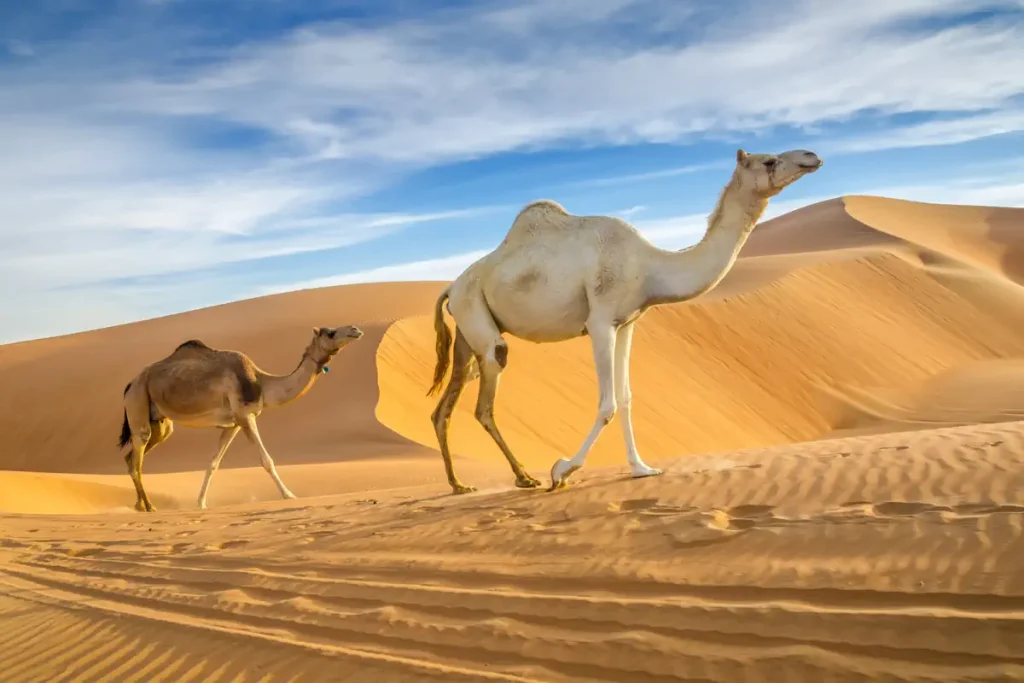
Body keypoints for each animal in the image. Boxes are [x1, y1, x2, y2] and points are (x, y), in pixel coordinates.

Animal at [117, 325, 364, 511]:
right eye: (330, 332)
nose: (355, 329)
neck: (262, 382)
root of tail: (129, 384)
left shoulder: (233, 424)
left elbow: (213, 464)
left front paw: (201, 503)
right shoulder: (246, 416)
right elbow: (266, 460)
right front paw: (289, 495)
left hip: (160, 423)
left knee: (132, 458)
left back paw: (139, 505)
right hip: (138, 402)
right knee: (137, 460)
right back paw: (149, 506)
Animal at [425, 149, 823, 493]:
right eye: (768, 160)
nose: (811, 157)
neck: (650, 267)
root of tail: (450, 286)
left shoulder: (627, 323)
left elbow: (628, 398)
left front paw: (641, 468)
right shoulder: (600, 322)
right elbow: (608, 404)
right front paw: (563, 470)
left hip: (467, 334)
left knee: (444, 407)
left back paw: (458, 484)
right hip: (478, 317)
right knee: (485, 400)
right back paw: (523, 477)